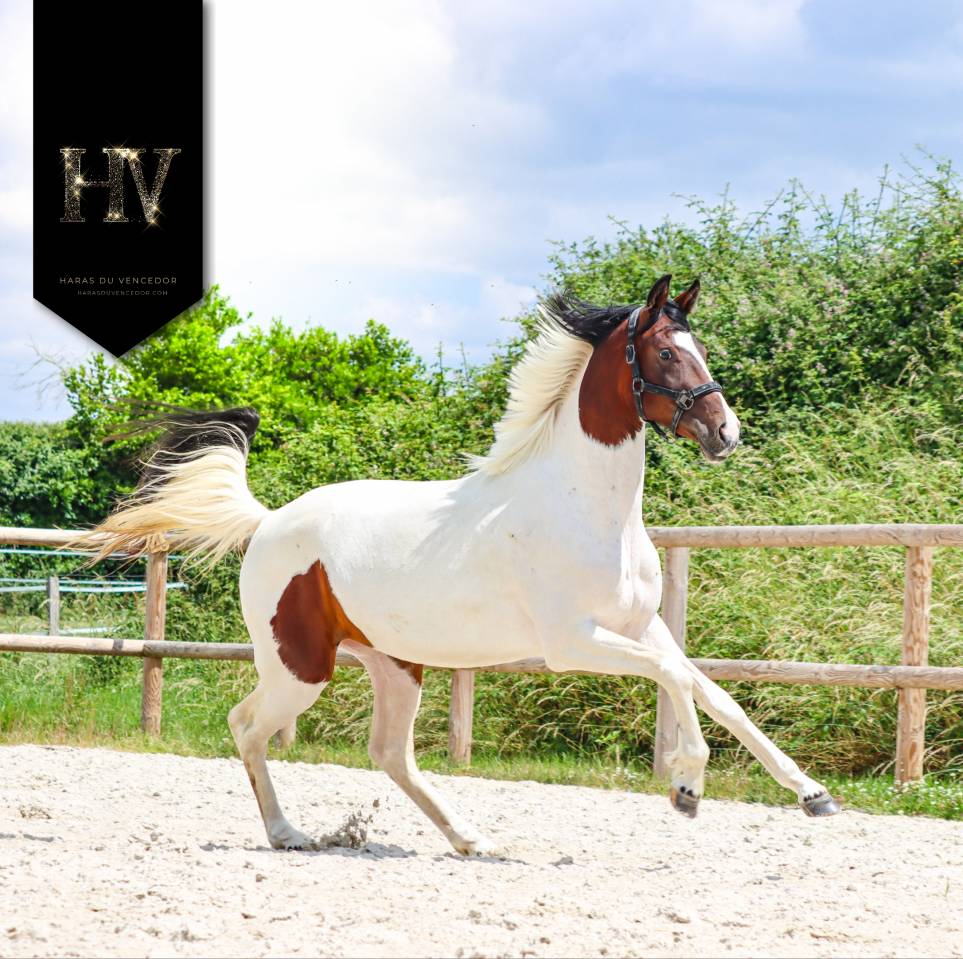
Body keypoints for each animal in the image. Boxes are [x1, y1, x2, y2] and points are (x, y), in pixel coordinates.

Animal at [89, 274, 840, 855]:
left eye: (699, 348)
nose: (724, 433)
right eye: (662, 350)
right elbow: (679, 679)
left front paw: (812, 794)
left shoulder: (641, 625)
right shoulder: (573, 642)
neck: (584, 508)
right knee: (248, 726)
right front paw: (687, 785)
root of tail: (269, 520)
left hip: (394, 664)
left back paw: (469, 838)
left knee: (389, 752)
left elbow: (712, 690)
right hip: (299, 667)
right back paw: (288, 833)